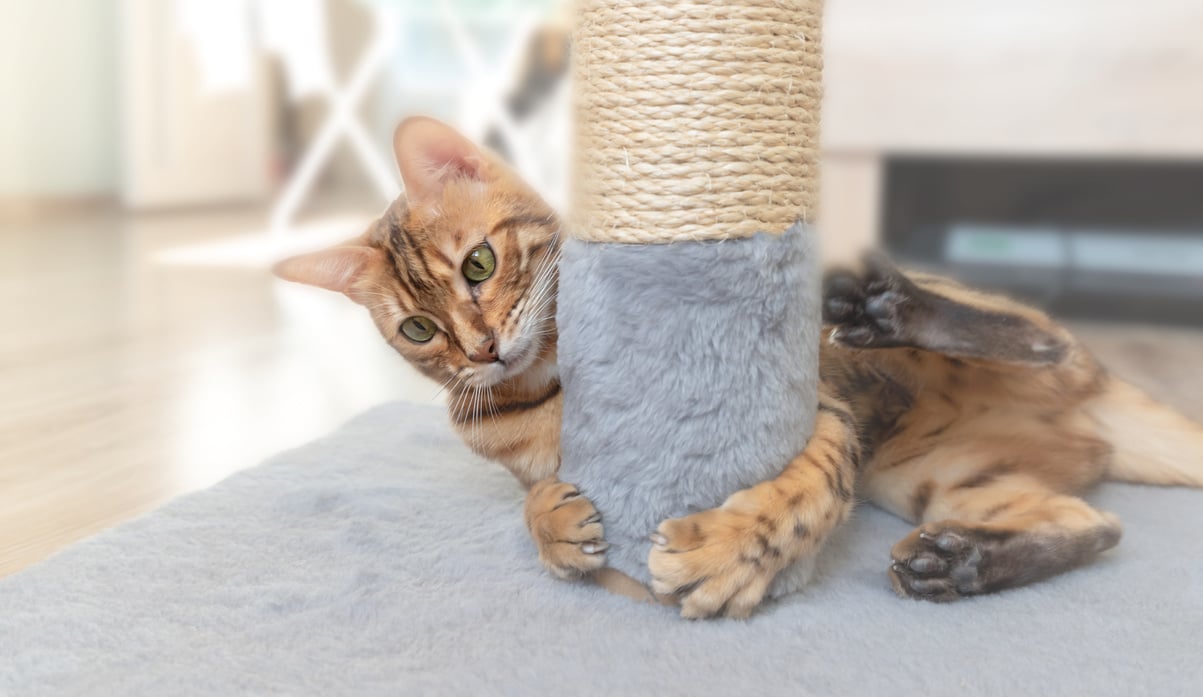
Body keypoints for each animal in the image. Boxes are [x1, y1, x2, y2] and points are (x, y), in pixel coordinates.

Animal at [276, 117, 1203, 621]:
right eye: (418, 328)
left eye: (478, 263)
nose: (480, 349)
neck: (546, 382)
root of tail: (1104, 409)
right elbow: (530, 498)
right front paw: (554, 525)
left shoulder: (822, 412)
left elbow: (799, 496)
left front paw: (728, 552)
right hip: (933, 475)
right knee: (1097, 524)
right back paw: (962, 562)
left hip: (947, 371)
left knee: (1043, 336)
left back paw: (892, 309)